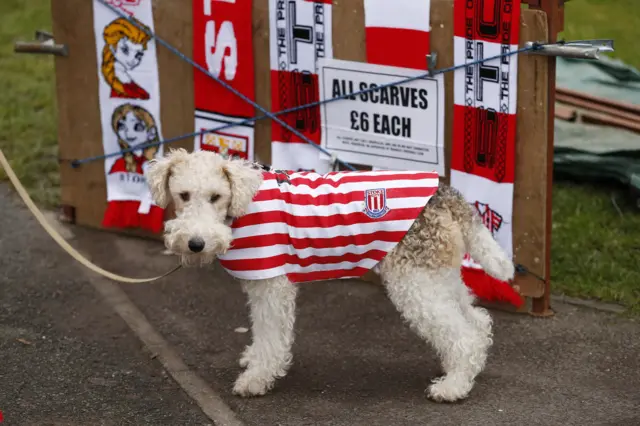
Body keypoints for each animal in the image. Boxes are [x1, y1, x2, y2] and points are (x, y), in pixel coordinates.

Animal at [146, 150, 516, 402]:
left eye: (216, 197)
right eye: (183, 195)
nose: (195, 243)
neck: (244, 201)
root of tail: (446, 194)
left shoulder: (271, 285)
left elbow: (271, 337)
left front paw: (256, 379)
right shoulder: (260, 281)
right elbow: (260, 334)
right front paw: (253, 359)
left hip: (416, 284)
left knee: (464, 335)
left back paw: (452, 387)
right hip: (439, 277)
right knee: (477, 322)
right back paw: (457, 370)